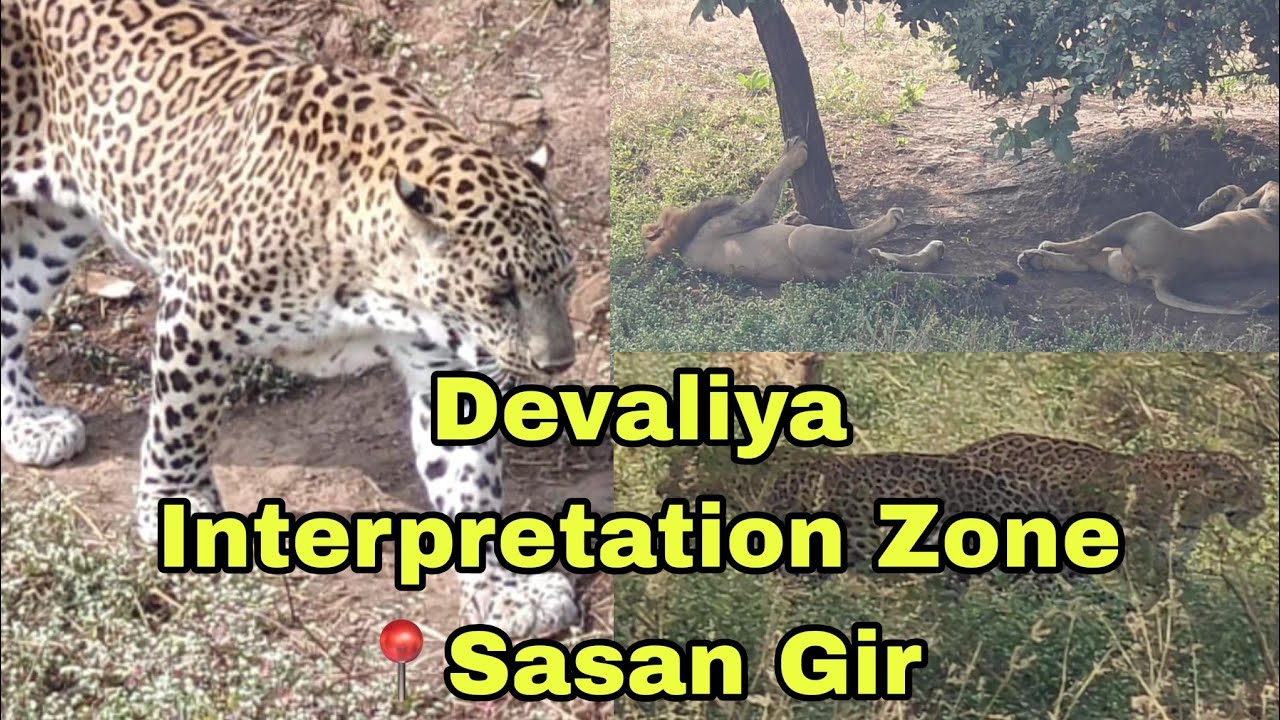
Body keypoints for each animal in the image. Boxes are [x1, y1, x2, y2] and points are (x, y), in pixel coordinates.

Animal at [2, 0, 582, 637]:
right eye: (499, 293)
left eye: (567, 280)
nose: (559, 363)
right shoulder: (197, 305)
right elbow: (183, 423)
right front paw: (175, 506)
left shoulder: (439, 359)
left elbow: (469, 478)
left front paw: (507, 589)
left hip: (49, 232)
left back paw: (27, 423)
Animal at [640, 137, 945, 283]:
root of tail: (858, 270)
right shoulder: (741, 216)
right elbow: (770, 184)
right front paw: (794, 153)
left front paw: (793, 215)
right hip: (808, 239)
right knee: (860, 239)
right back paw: (893, 220)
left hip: (863, 257)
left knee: (891, 258)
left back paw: (933, 252)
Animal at [1016, 181, 1279, 316]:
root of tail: (1164, 278)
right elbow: (1239, 189)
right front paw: (1209, 203)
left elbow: (1265, 185)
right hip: (1112, 257)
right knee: (1080, 259)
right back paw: (1034, 259)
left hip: (1141, 219)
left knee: (1087, 244)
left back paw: (1044, 248)